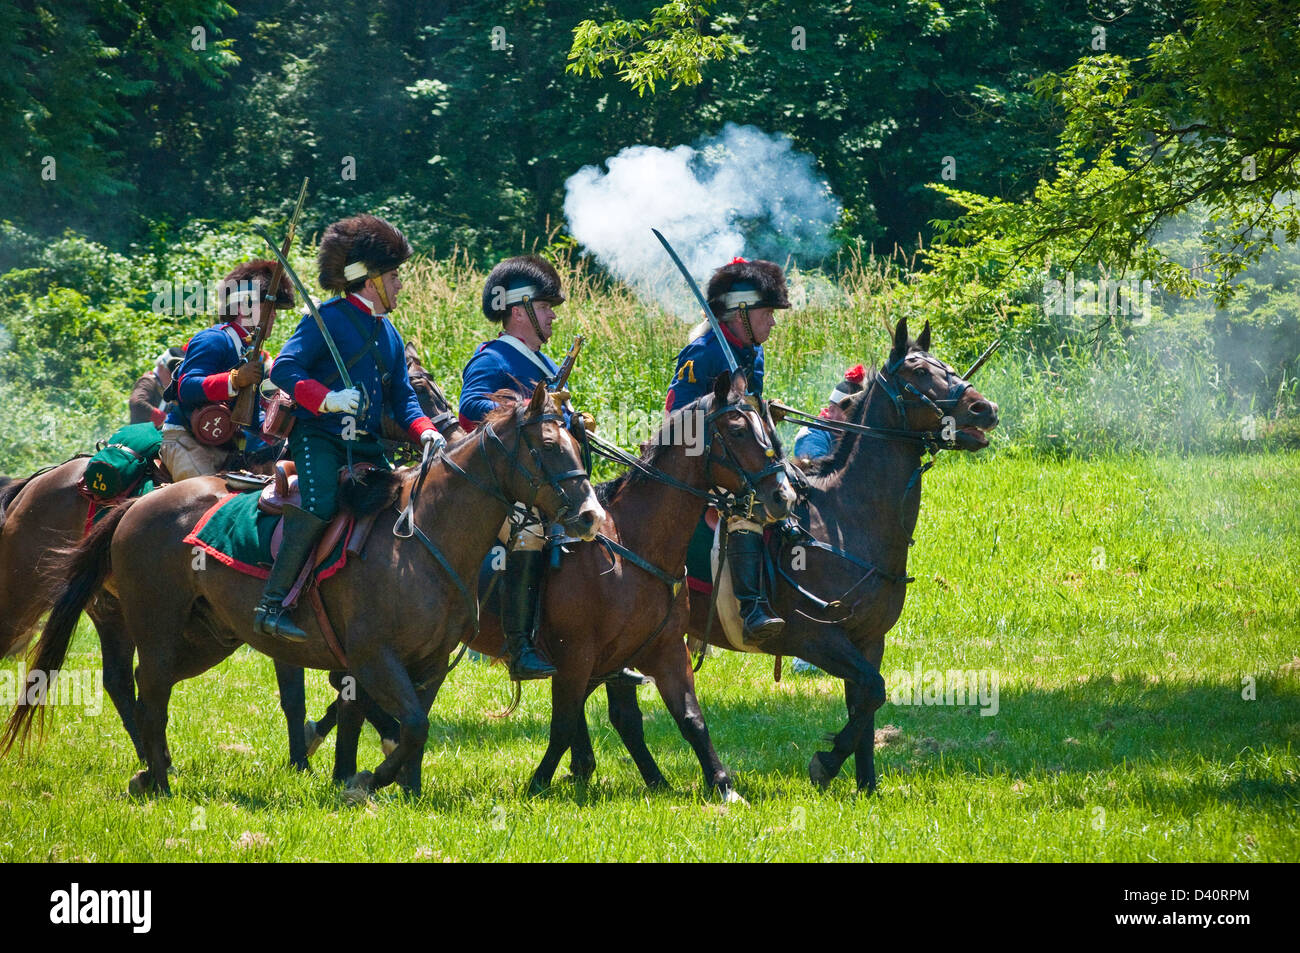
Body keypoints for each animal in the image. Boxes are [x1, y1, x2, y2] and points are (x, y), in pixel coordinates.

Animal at [1, 382, 603, 800]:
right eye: (547, 448)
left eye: (578, 447)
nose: (591, 516)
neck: (423, 539)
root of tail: (133, 505)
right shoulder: (373, 656)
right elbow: (403, 724)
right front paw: (363, 780)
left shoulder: (426, 664)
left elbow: (410, 726)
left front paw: (403, 790)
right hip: (150, 627)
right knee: (147, 692)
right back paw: (162, 782)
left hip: (196, 637)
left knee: (143, 689)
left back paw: (153, 772)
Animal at [462, 369, 795, 800]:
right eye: (737, 431)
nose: (783, 495)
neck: (632, 544)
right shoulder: (576, 656)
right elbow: (565, 723)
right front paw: (538, 784)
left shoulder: (659, 652)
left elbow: (684, 718)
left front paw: (717, 784)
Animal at [595, 319, 998, 795]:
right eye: (918, 372)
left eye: (945, 366)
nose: (984, 409)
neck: (843, 516)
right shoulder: (816, 638)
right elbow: (873, 691)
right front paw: (826, 763)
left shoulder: (868, 640)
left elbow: (866, 704)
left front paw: (866, 784)